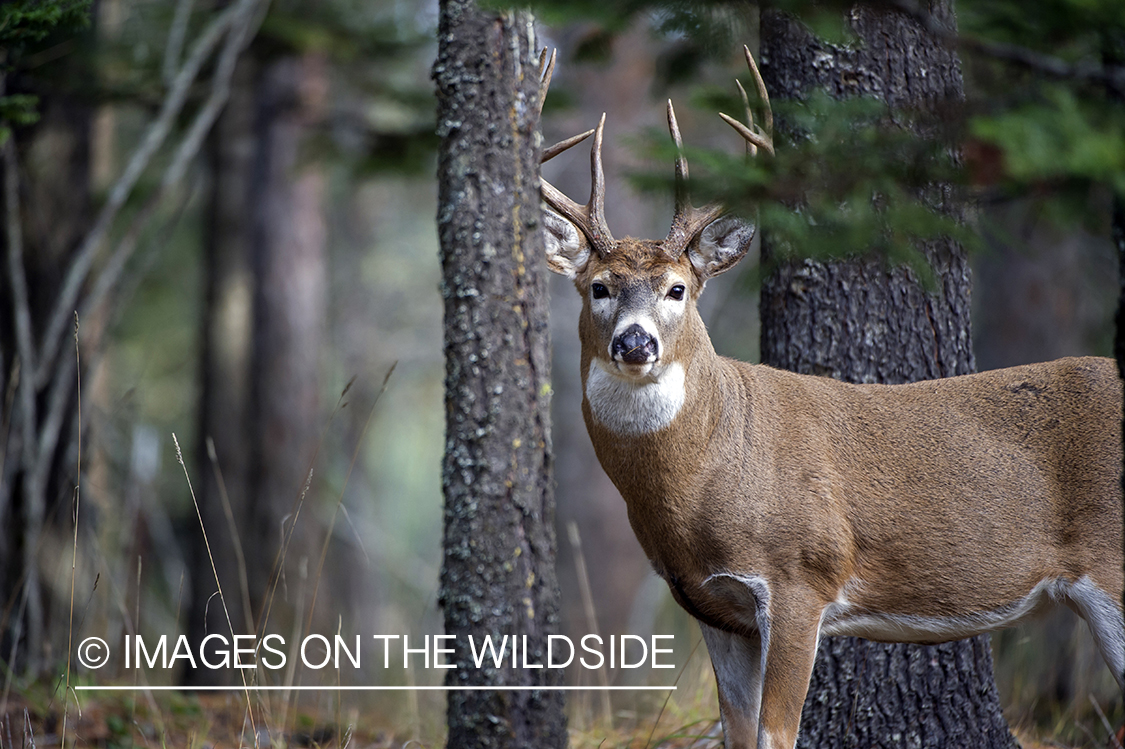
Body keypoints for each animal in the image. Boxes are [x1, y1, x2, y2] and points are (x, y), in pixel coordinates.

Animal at [535, 48, 1125, 746]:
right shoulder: (712, 605)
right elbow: (738, 732)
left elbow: (775, 734)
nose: (634, 341)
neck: (706, 476)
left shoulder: (801, 575)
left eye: (677, 288)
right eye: (599, 287)